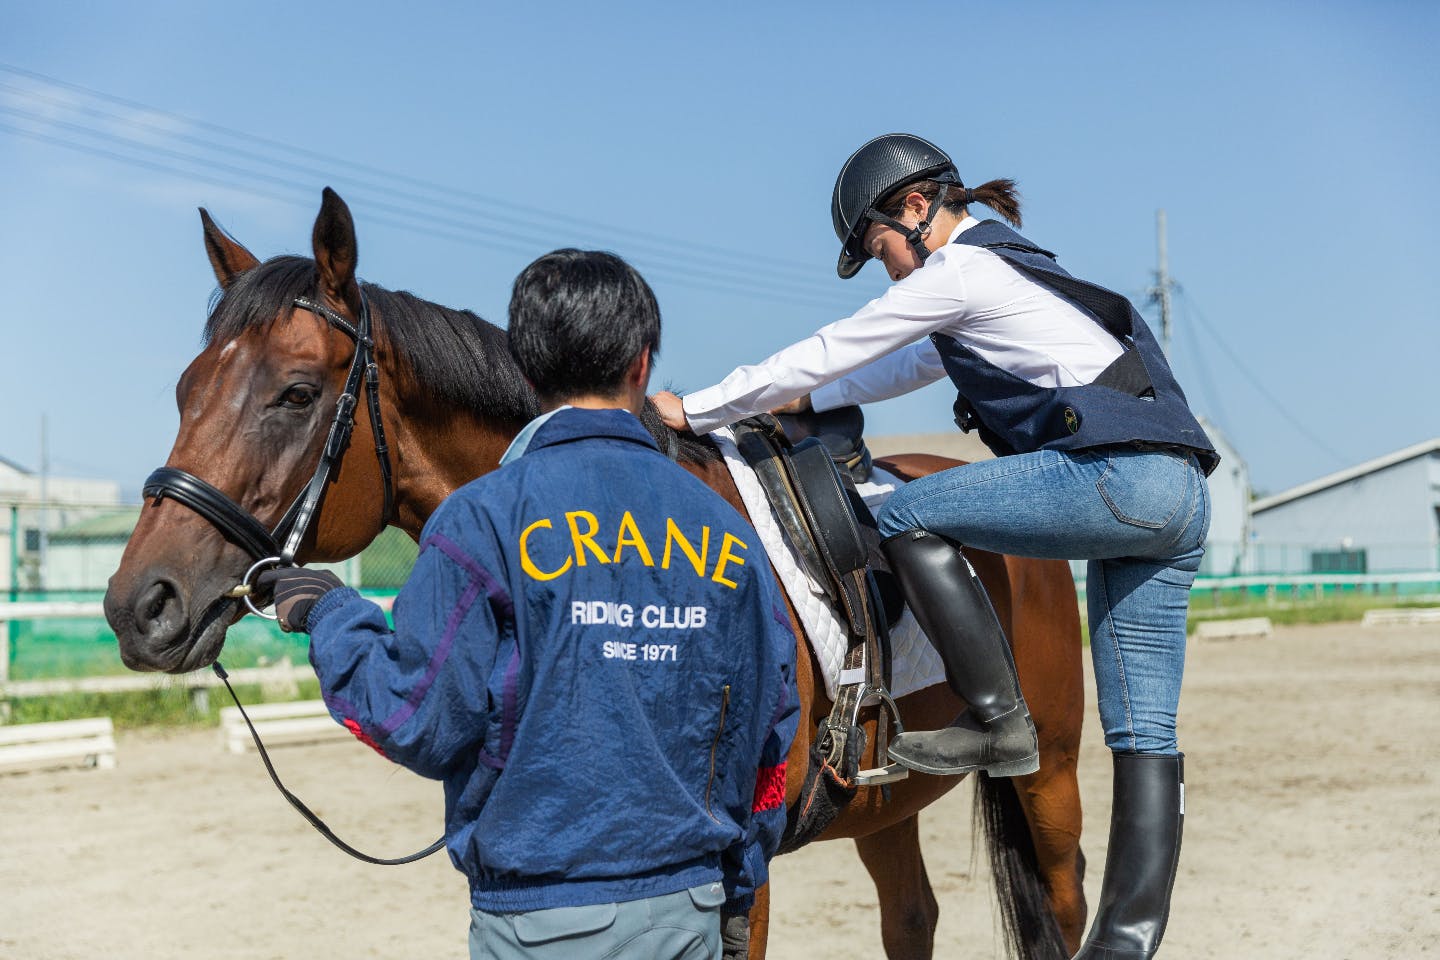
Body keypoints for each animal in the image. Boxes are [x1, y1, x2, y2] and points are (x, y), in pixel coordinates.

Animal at [101, 189, 1082, 960]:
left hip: (1052, 775)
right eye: (186, 390)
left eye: (298, 393)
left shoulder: (739, 869)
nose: (138, 606)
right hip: (887, 800)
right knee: (911, 918)